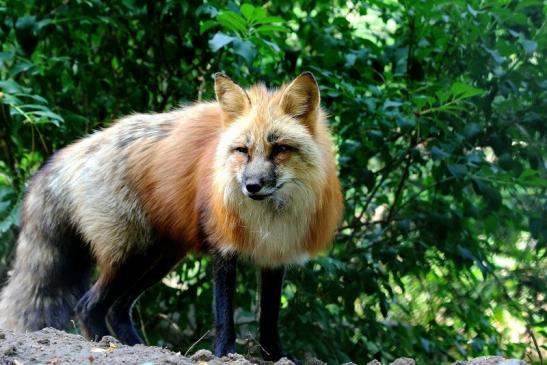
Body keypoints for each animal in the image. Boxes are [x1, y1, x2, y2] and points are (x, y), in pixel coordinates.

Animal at [0, 72, 342, 362]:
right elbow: (224, 316)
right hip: (131, 255)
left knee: (117, 309)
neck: (268, 218)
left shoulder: (275, 256)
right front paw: (224, 354)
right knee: (88, 306)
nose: (252, 186)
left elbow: (269, 320)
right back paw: (106, 346)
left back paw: (137, 347)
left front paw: (278, 357)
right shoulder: (223, 248)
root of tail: (78, 147)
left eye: (280, 149)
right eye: (242, 150)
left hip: (159, 259)